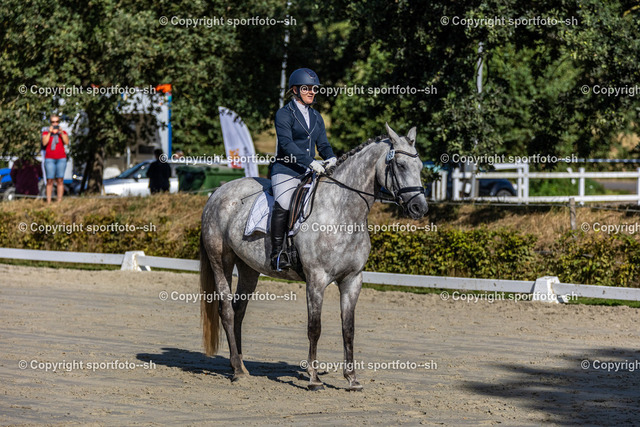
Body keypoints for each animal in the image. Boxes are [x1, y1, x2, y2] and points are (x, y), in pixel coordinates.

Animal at [200, 123, 428, 390]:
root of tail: (219, 192)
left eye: (420, 166)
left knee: (239, 311)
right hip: (220, 261)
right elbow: (314, 328)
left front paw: (352, 379)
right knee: (226, 310)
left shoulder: (352, 280)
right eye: (400, 165)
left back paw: (240, 365)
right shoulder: (316, 280)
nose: (420, 208)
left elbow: (348, 328)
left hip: (248, 268)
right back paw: (237, 371)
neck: (342, 211)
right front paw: (314, 378)